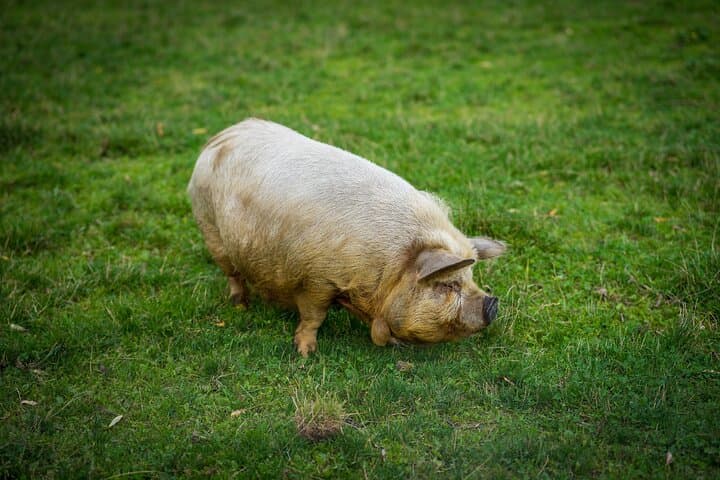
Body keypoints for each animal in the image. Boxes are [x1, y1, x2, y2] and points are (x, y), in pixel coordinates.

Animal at [188, 118, 505, 356]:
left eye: (470, 279)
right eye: (447, 285)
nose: (492, 302)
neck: (387, 268)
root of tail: (221, 136)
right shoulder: (316, 279)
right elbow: (314, 316)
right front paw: (306, 354)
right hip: (209, 226)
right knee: (231, 272)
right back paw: (240, 306)